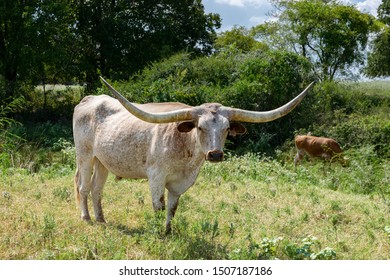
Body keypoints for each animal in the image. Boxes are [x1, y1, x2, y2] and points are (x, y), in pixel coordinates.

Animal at [71, 77, 312, 233]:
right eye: (200, 127)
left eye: (226, 128)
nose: (215, 155)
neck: (185, 155)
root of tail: (89, 99)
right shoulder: (156, 177)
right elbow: (158, 206)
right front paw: (158, 233)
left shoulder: (181, 183)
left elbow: (172, 208)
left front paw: (168, 232)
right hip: (85, 155)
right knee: (83, 187)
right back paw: (86, 218)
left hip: (103, 160)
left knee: (97, 189)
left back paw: (101, 219)